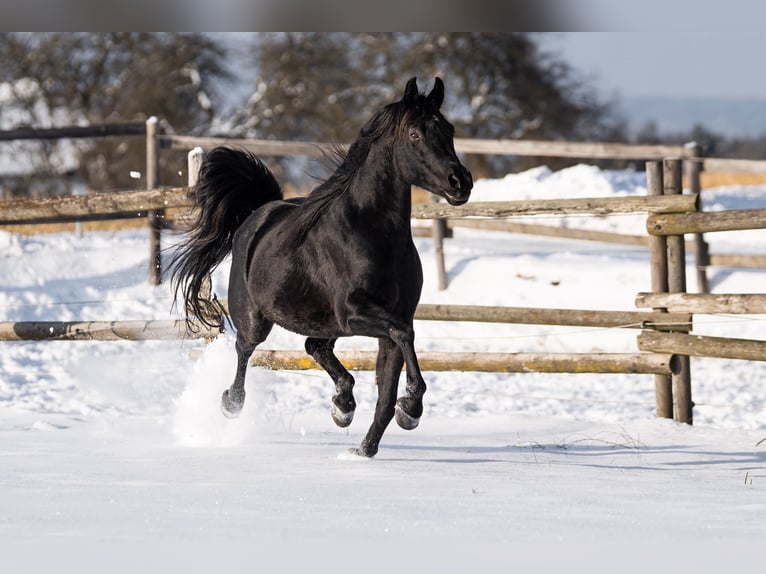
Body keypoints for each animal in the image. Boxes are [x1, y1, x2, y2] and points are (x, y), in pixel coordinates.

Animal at [170, 77, 472, 457]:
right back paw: (231, 404)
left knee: (314, 346)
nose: (460, 182)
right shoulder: (355, 313)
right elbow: (405, 335)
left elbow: (387, 391)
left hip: (325, 321)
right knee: (245, 350)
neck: (375, 234)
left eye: (449, 130)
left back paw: (342, 406)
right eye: (415, 134)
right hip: (258, 317)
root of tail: (259, 212)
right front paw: (411, 408)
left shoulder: (389, 320)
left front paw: (367, 448)